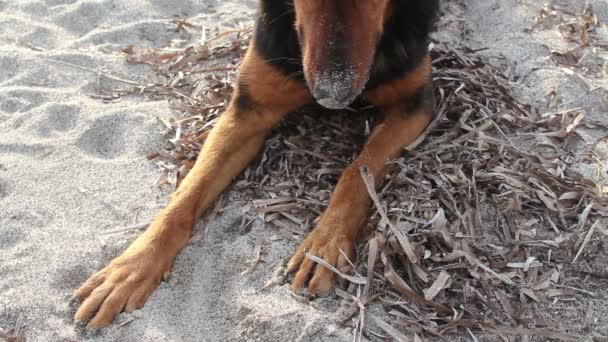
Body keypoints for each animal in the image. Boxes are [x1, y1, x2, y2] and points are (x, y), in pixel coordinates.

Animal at [73, 0, 440, 328]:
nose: (334, 95)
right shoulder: (248, 111)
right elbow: (187, 194)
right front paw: (133, 266)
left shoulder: (414, 106)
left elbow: (356, 174)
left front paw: (326, 242)